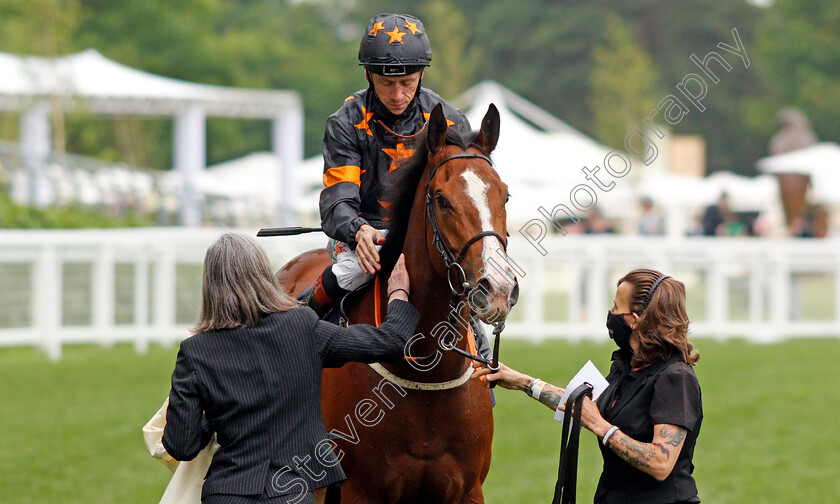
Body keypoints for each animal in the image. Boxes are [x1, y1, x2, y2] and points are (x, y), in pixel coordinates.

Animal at [278, 104, 520, 502]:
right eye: (442, 199)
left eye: (505, 195)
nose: (498, 288)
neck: (426, 377)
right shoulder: (361, 491)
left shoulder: (468, 490)